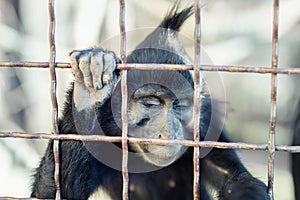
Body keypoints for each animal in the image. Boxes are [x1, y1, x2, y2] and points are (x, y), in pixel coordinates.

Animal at [30, 3, 270, 200]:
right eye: (152, 103)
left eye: (180, 106)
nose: (169, 131)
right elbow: (56, 194)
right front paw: (87, 94)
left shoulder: (206, 122)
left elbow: (236, 180)